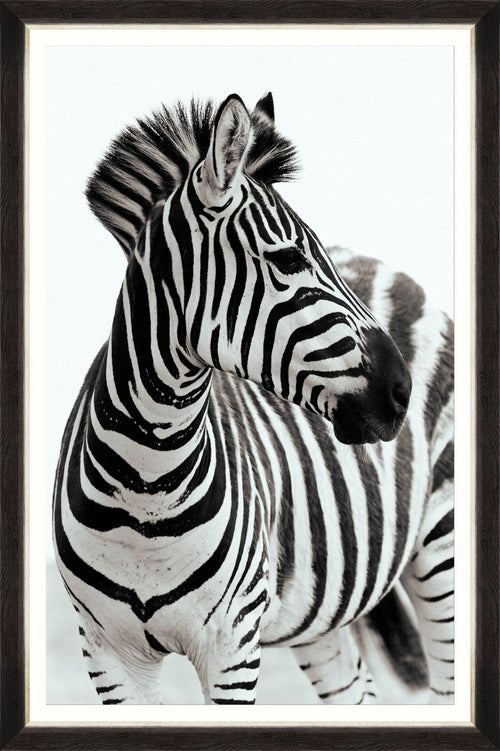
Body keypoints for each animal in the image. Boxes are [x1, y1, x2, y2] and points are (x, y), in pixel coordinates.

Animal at [53, 92, 454, 706]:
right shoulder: (107, 655)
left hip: (442, 547)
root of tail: (383, 264)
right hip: (319, 609)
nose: (399, 390)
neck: (144, 489)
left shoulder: (232, 645)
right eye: (288, 260)